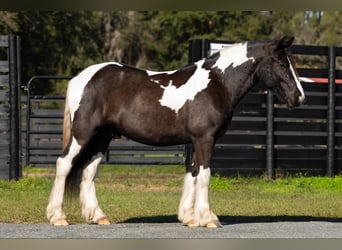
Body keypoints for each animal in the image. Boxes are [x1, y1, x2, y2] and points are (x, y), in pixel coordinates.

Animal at [45, 35, 304, 229]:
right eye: (282, 63)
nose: (299, 97)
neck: (217, 83)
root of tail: (81, 78)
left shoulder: (195, 141)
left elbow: (193, 173)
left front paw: (189, 217)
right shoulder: (205, 139)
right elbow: (205, 175)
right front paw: (208, 218)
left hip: (102, 137)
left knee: (89, 171)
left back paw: (98, 216)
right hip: (83, 133)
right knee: (64, 164)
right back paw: (58, 217)